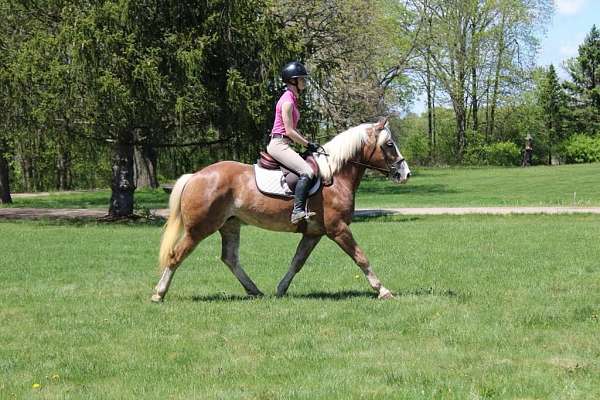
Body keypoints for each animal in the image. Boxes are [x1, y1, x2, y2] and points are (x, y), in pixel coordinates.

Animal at [152, 117, 410, 302]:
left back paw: (254, 290)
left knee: (230, 258)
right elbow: (361, 257)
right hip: (200, 228)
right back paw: (159, 293)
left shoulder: (314, 233)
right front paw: (383, 290)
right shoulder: (338, 229)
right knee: (176, 256)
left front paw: (281, 289)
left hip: (230, 225)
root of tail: (196, 175)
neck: (335, 177)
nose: (405, 173)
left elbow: (297, 262)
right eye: (389, 145)